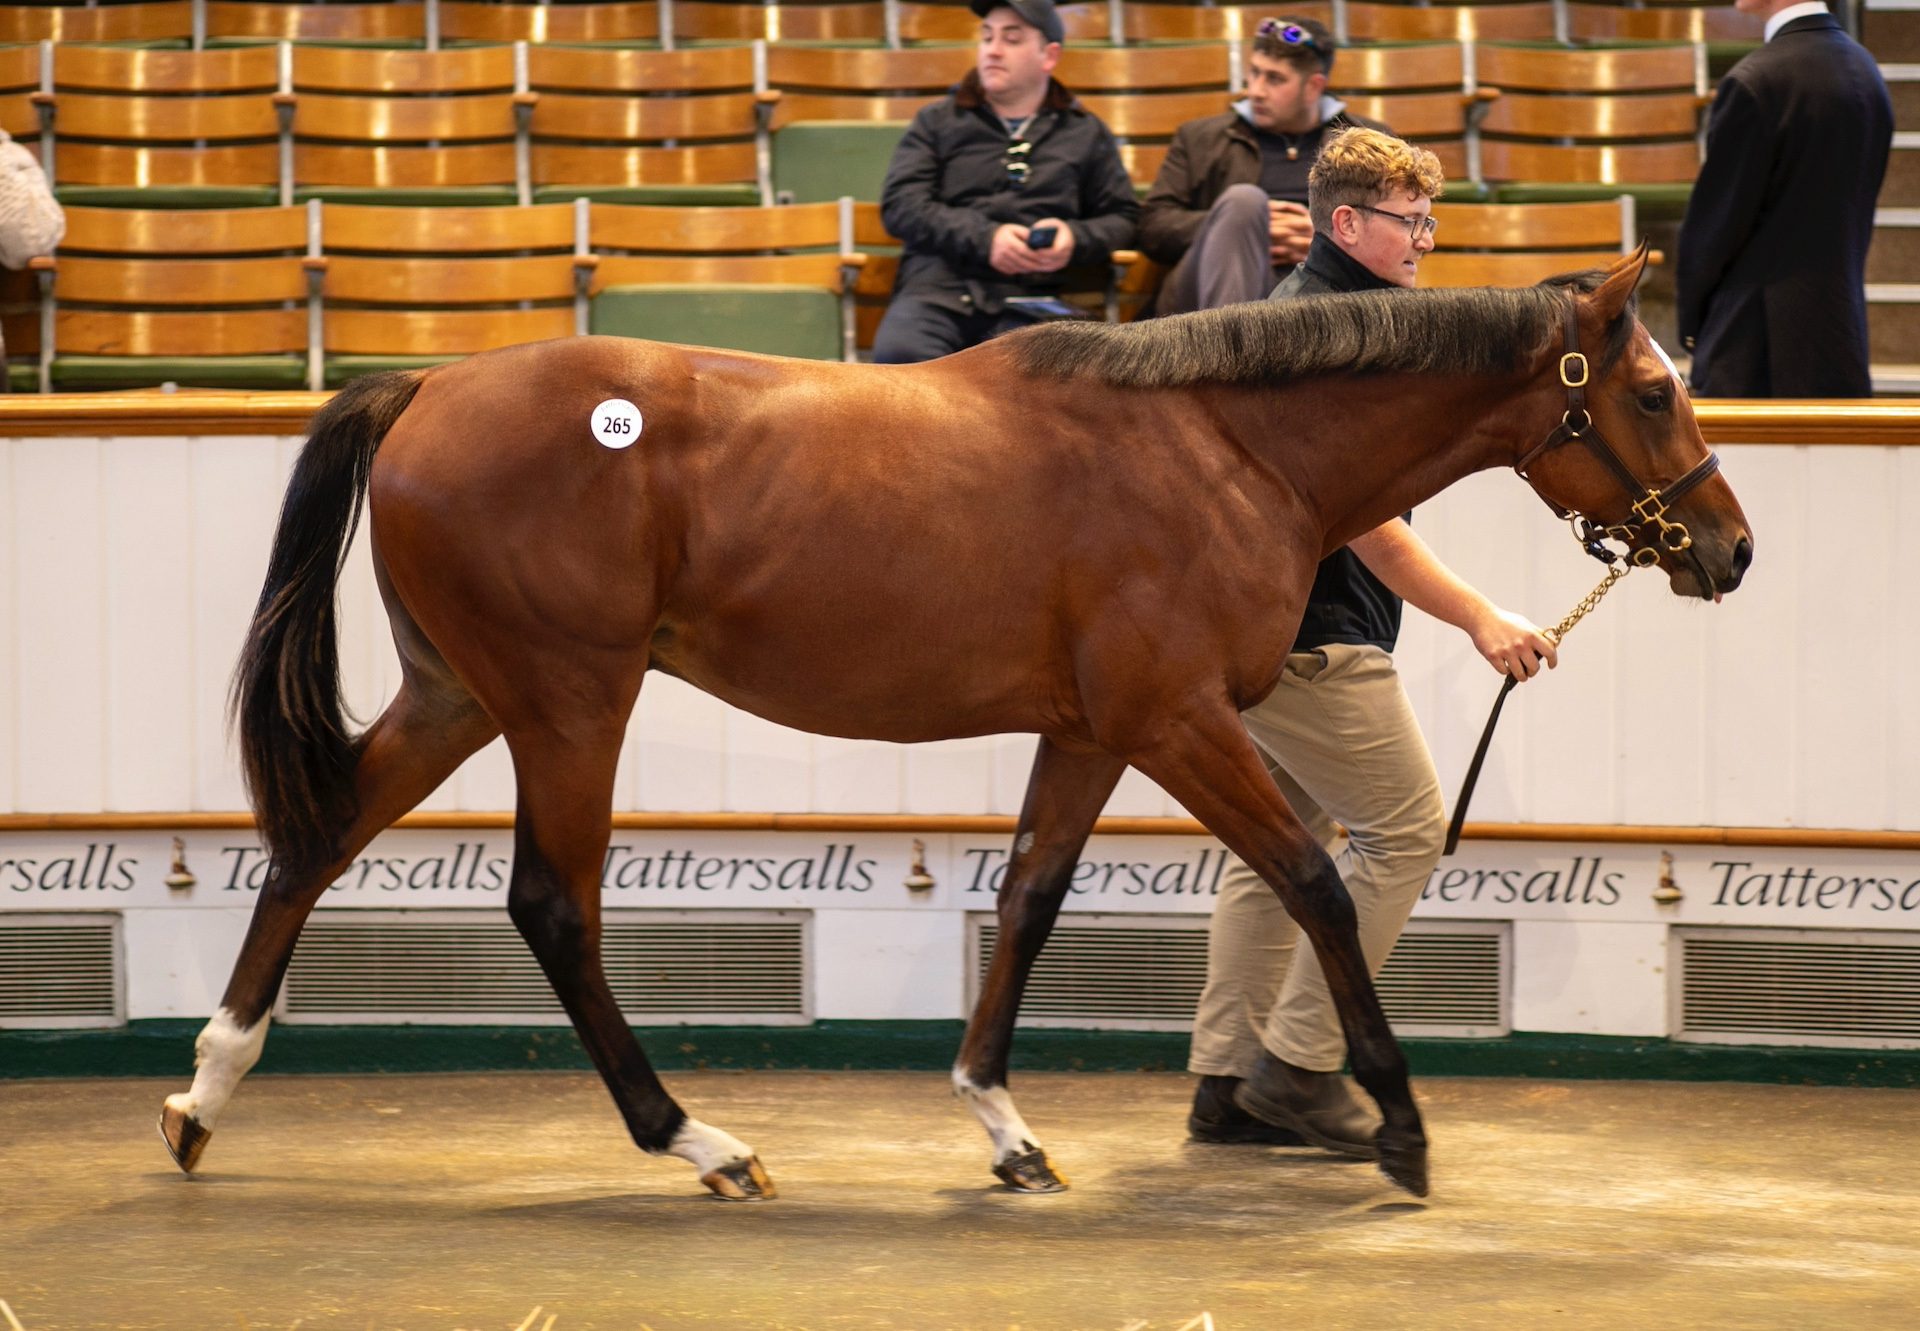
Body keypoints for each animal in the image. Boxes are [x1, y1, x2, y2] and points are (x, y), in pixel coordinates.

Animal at [161, 243, 1758, 1198]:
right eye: (1655, 387)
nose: (1730, 549)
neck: (1225, 445)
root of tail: (429, 385)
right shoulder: (1178, 719)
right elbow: (1309, 879)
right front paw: (1404, 1126)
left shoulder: (1095, 728)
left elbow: (1033, 893)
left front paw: (1004, 1122)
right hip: (568, 700)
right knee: (553, 903)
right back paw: (699, 1140)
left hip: (458, 694)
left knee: (316, 833)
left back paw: (204, 1088)